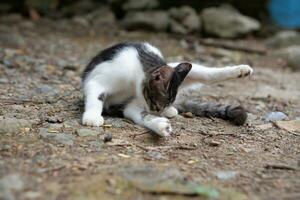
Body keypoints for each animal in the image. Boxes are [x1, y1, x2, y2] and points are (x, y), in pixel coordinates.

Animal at [81, 41, 252, 137]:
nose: (159, 111)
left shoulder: (139, 100)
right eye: (156, 104)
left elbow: (143, 115)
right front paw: (92, 117)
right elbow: (96, 96)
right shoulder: (96, 80)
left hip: (178, 67)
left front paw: (159, 121)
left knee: (205, 73)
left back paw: (240, 70)